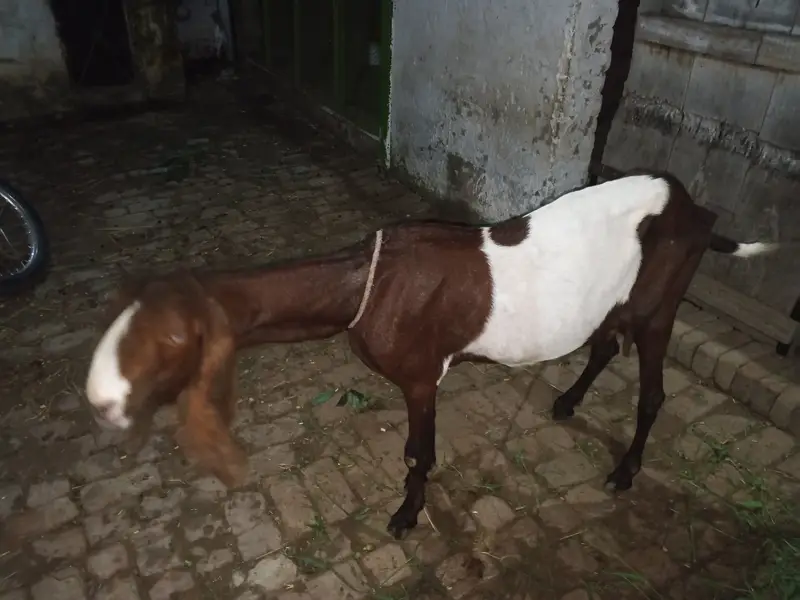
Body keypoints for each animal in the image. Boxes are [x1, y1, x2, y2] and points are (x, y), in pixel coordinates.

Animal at [85, 171, 781, 540]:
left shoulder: (421, 376)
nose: (99, 401)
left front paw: (405, 515)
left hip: (661, 305)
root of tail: (695, 209)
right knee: (606, 340)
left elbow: (418, 452)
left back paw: (625, 470)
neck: (365, 283)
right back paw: (567, 401)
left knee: (652, 389)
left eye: (166, 343)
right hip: (617, 300)